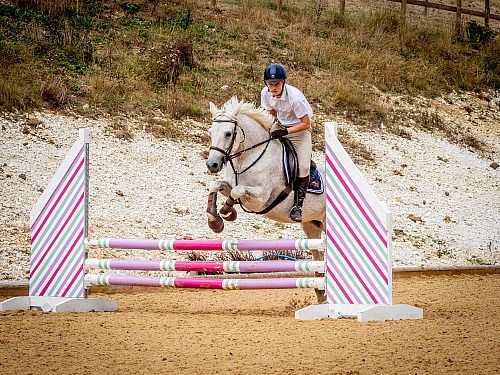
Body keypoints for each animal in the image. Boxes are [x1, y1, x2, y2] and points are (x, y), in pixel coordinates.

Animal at [205, 96, 326, 244]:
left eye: (228, 133)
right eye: (210, 132)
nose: (212, 164)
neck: (246, 158)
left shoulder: (261, 199)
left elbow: (237, 190)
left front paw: (226, 212)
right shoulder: (230, 185)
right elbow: (215, 185)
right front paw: (215, 221)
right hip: (312, 226)